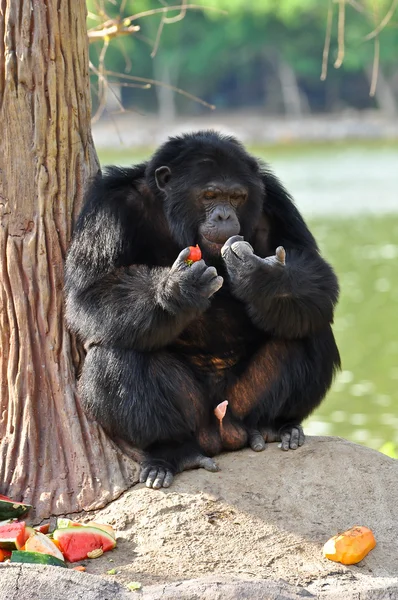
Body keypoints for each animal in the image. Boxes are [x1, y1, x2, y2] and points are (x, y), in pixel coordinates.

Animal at [63, 130, 340, 488]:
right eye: (209, 195)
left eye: (236, 197)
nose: (223, 215)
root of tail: (222, 432)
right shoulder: (108, 210)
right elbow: (91, 290)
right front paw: (177, 290)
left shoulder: (275, 200)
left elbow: (313, 270)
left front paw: (261, 277)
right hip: (195, 416)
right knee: (117, 351)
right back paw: (170, 452)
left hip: (241, 402)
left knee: (307, 328)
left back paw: (272, 425)